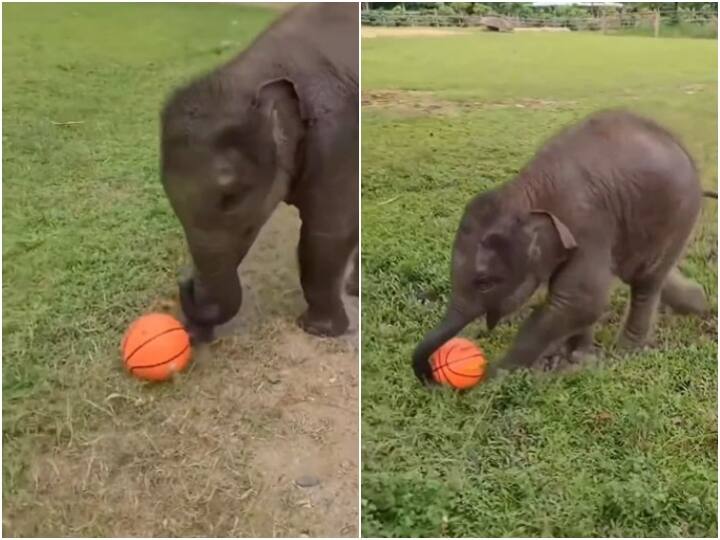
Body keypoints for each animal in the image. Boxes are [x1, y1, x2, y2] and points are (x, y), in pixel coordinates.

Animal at [413, 110, 715, 384]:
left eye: (484, 282)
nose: (431, 374)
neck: (528, 191)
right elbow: (578, 302)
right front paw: (575, 356)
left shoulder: (587, 226)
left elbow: (580, 300)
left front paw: (492, 376)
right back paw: (698, 303)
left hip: (678, 214)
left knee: (646, 282)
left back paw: (627, 350)